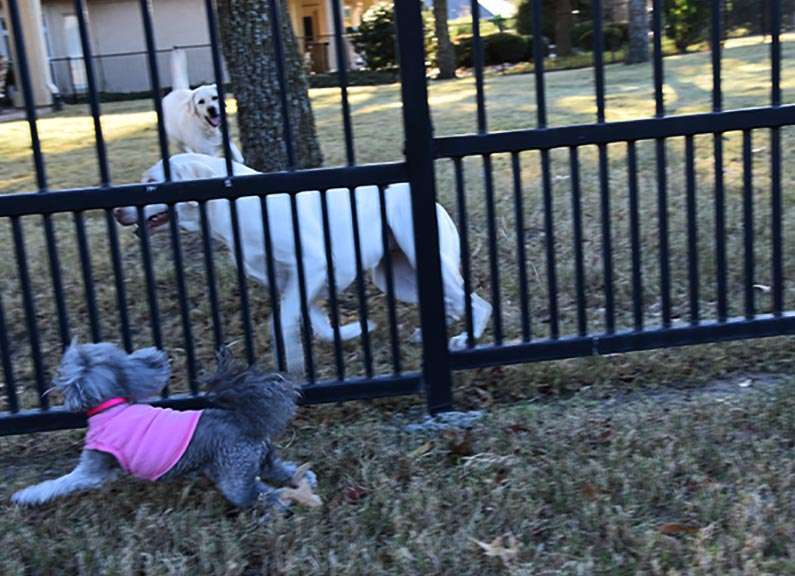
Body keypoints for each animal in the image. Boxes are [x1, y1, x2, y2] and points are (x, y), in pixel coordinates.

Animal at [11, 342, 314, 508]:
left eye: (65, 366)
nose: (53, 381)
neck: (111, 406)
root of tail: (244, 419)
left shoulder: (92, 470)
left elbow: (60, 483)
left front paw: (27, 495)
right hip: (257, 460)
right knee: (284, 471)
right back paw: (306, 480)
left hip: (235, 475)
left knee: (263, 495)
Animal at [113, 153, 492, 374]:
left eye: (151, 183)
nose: (116, 211)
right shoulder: (291, 282)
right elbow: (316, 322)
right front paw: (351, 332)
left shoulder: (311, 266)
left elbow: (280, 323)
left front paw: (293, 362)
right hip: (394, 276)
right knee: (454, 302)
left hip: (424, 260)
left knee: (478, 303)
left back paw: (466, 338)